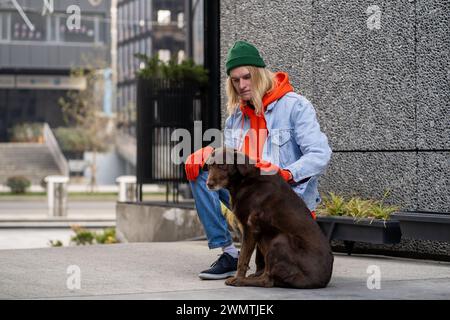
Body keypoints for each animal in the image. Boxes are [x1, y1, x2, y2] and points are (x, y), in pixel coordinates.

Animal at [206, 148, 332, 290]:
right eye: (209, 166)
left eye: (222, 166)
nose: (208, 184)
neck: (245, 181)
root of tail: (322, 281)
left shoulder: (250, 228)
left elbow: (243, 257)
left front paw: (238, 277)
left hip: (280, 240)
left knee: (267, 281)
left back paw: (241, 281)